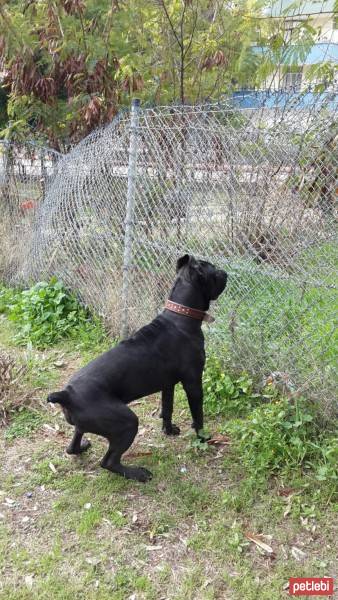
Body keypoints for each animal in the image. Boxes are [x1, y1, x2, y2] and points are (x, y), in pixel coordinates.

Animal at [47, 255, 227, 480]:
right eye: (213, 270)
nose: (225, 273)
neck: (181, 316)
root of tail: (66, 394)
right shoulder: (193, 383)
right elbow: (198, 415)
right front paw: (203, 439)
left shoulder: (168, 384)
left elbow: (167, 408)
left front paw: (168, 430)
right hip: (127, 423)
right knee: (108, 462)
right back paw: (137, 473)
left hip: (85, 425)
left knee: (73, 445)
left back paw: (82, 447)